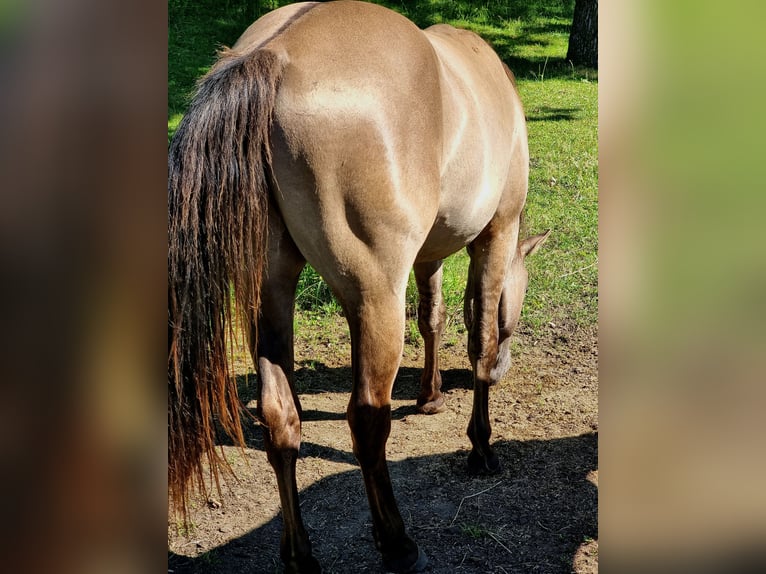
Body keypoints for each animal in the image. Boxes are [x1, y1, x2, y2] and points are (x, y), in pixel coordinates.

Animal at [168, 2, 549, 572]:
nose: (508, 370)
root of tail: (273, 53)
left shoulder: (428, 253)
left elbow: (433, 316)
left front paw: (431, 397)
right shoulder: (495, 235)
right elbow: (479, 337)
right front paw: (481, 445)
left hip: (271, 292)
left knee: (280, 419)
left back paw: (299, 555)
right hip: (374, 296)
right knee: (367, 419)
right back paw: (396, 542)